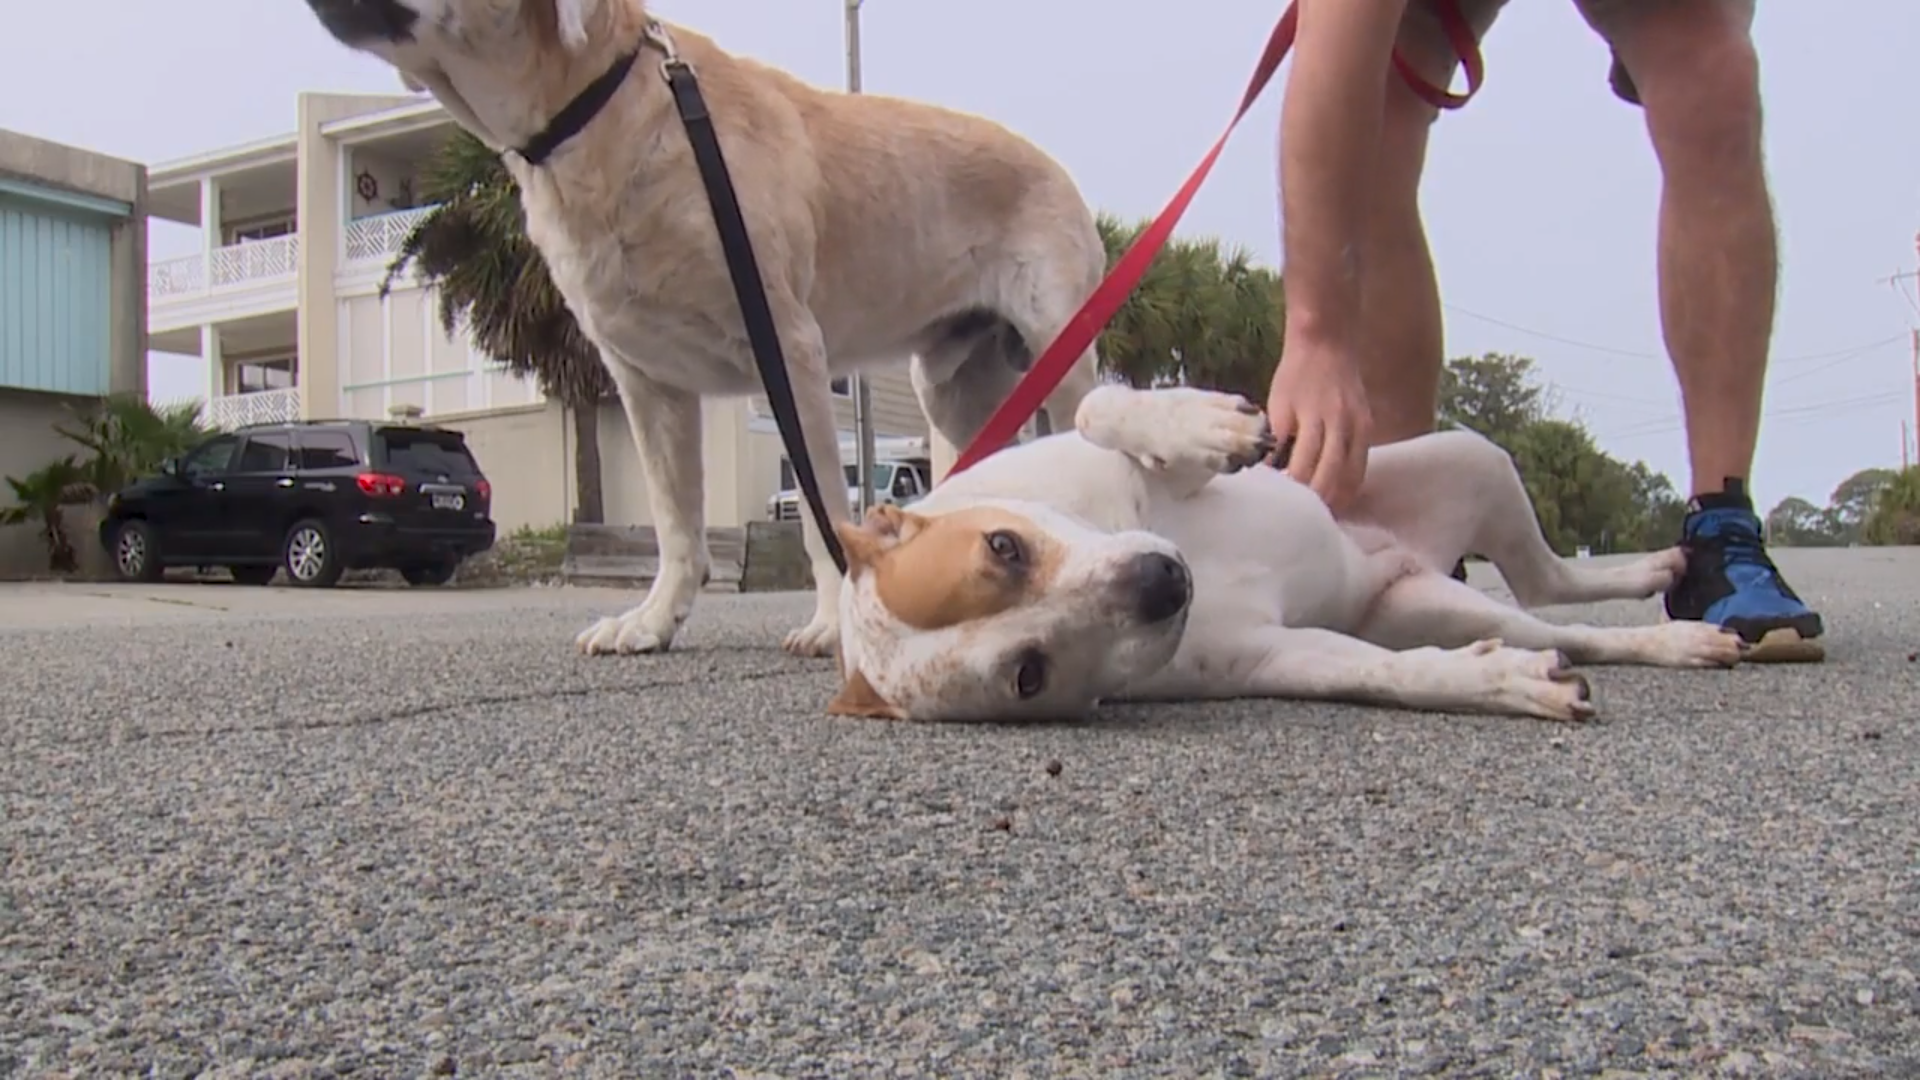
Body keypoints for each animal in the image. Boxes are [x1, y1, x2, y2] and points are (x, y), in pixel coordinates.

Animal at [305, 0, 1105, 657]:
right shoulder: (648, 383)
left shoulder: (790, 354)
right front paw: (652, 622)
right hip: (954, 391)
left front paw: (829, 624)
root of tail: (1058, 171)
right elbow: (676, 526)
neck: (607, 108)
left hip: (1064, 360)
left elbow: (819, 515)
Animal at [825, 382, 1743, 718]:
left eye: (1005, 546)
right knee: (1546, 611)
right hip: (1424, 599)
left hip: (1474, 457)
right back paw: (1669, 630)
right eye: (1028, 674)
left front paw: (1201, 424)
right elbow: (1385, 674)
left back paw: (1665, 588)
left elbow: (1097, 405)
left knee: (1551, 588)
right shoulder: (1276, 656)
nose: (1164, 583)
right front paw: (1494, 683)